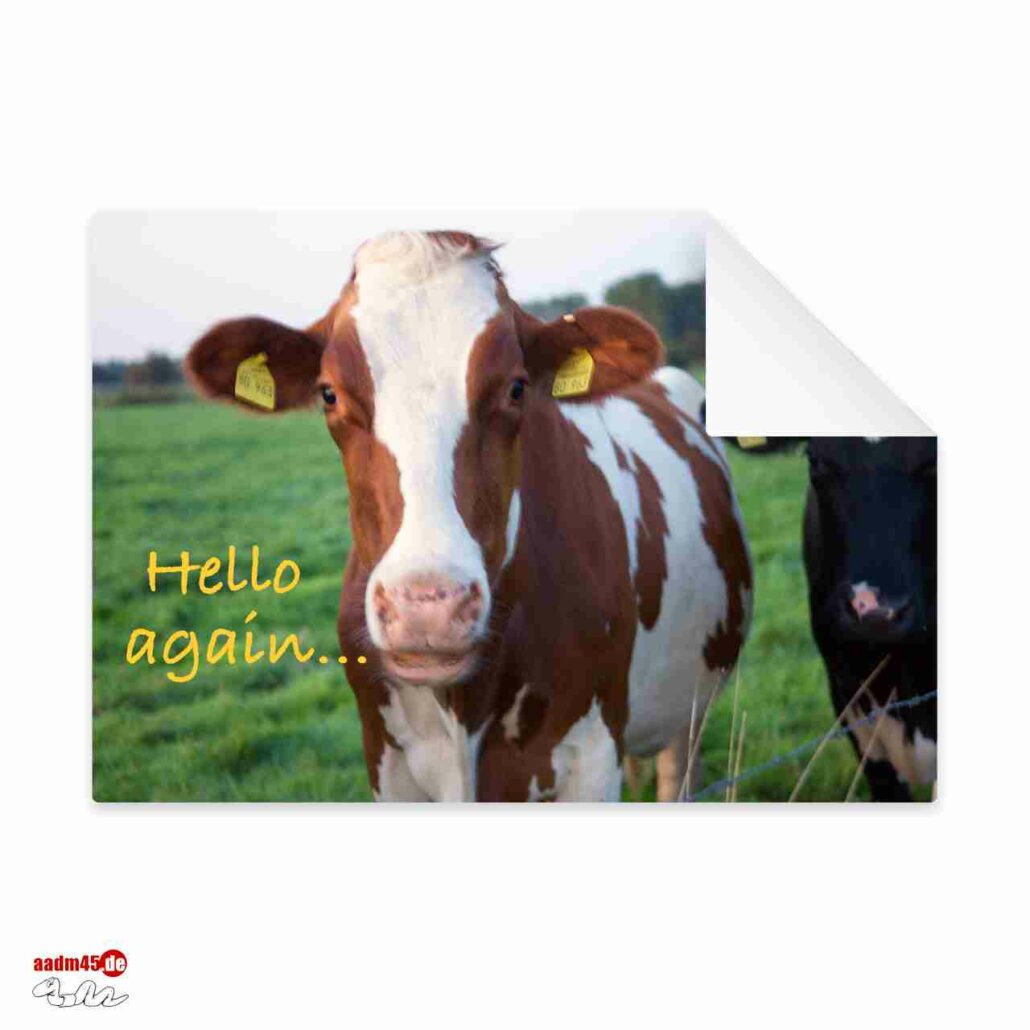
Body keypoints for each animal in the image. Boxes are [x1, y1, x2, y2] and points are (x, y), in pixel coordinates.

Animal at [185, 231, 752, 801]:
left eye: (517, 387)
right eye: (329, 394)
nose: (426, 608)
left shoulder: (591, 757)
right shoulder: (387, 764)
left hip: (690, 706)